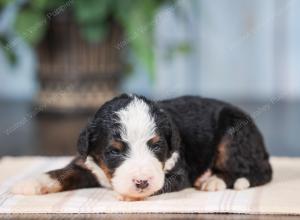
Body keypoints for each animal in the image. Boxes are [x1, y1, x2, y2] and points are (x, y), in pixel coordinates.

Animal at [12, 93, 272, 200]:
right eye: (114, 151)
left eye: (156, 146)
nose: (141, 182)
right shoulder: (88, 164)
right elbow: (63, 172)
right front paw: (31, 183)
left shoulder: (179, 171)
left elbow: (163, 183)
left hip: (234, 133)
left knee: (258, 171)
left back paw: (214, 180)